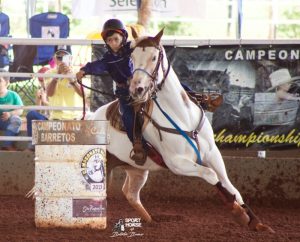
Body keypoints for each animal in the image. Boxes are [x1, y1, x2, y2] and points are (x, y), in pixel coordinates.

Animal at [93, 29, 274, 233]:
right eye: (132, 58)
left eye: (154, 57)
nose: (137, 89)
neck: (183, 116)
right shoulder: (177, 163)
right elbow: (211, 176)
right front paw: (238, 212)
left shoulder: (212, 154)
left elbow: (229, 185)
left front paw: (256, 222)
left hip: (137, 170)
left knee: (131, 194)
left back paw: (150, 221)